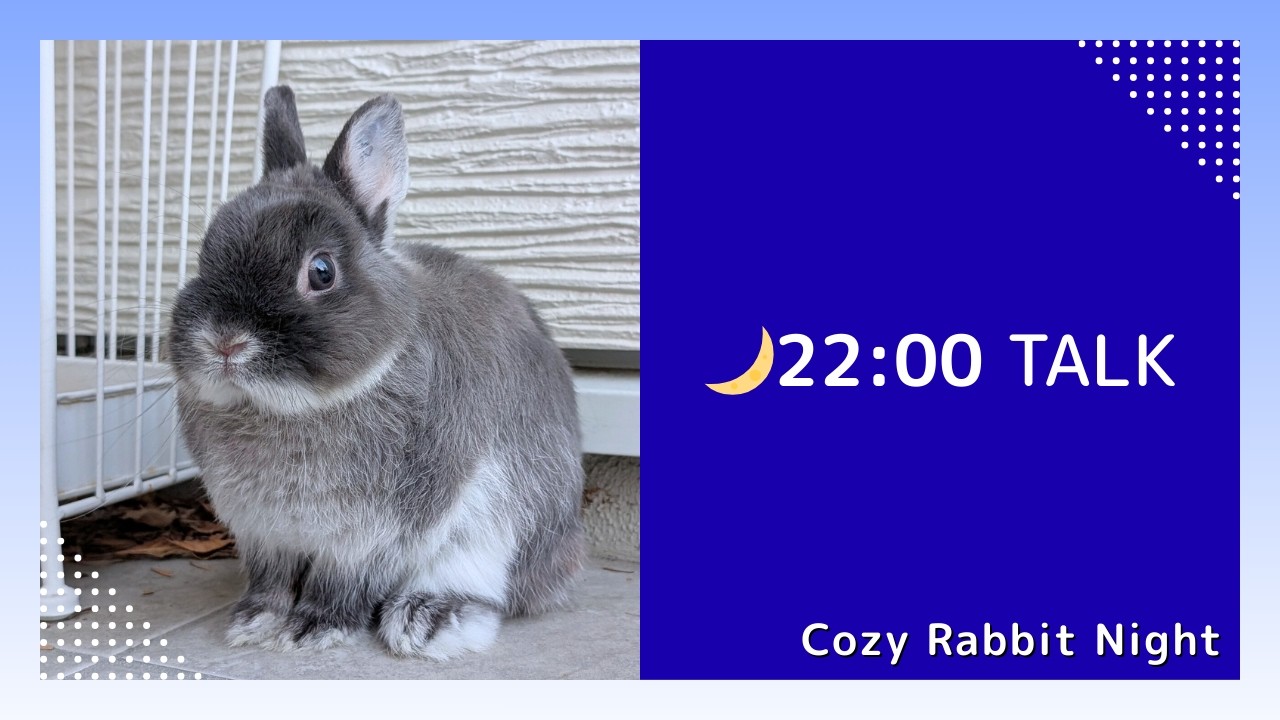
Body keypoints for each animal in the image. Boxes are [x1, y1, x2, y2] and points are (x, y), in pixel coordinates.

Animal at [167, 86, 586, 660]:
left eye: (321, 271)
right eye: (206, 252)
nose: (224, 341)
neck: (287, 409)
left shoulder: (372, 535)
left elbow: (339, 584)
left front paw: (312, 629)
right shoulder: (263, 532)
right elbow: (271, 581)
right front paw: (254, 621)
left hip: (501, 525)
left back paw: (429, 619)